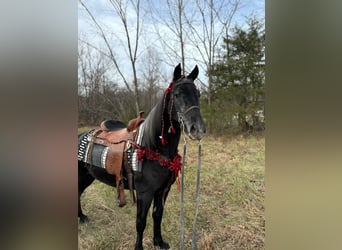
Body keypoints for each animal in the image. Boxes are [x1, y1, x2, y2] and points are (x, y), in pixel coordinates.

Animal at [78, 63, 206, 249]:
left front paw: (159, 242)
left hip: (88, 177)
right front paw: (139, 247)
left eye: (198, 94)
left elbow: (157, 215)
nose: (198, 129)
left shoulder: (162, 190)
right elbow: (141, 222)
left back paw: (82, 218)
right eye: (177, 94)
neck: (152, 148)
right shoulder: (145, 193)